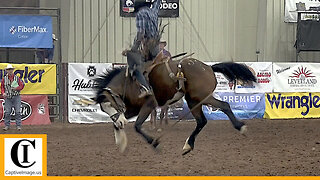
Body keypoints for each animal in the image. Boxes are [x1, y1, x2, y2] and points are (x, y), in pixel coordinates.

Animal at [94, 51, 256, 155]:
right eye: (104, 109)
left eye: (111, 104)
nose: (121, 123)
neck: (129, 82)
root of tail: (209, 67)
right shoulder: (131, 109)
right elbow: (116, 123)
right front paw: (121, 142)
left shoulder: (149, 104)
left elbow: (137, 126)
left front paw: (155, 143)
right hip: (194, 101)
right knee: (202, 121)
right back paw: (188, 146)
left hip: (200, 98)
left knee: (223, 106)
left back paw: (240, 127)